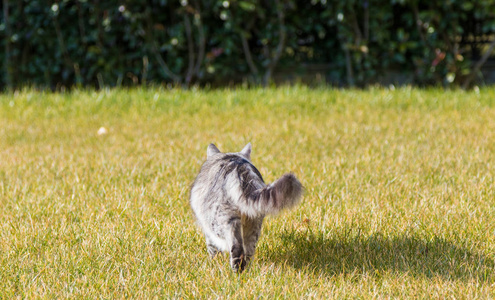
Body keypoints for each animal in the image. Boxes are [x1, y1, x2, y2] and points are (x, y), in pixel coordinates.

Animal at [192, 143, 304, 272]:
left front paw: (215, 261)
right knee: (248, 251)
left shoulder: (207, 227)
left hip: (220, 220)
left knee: (236, 246)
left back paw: (236, 270)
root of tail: (238, 168)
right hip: (254, 222)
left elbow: (212, 247)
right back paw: (246, 271)